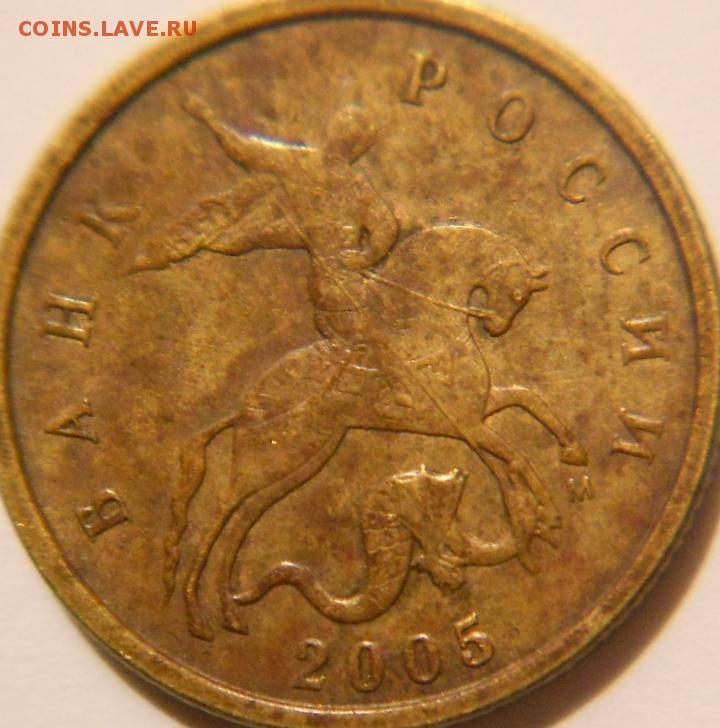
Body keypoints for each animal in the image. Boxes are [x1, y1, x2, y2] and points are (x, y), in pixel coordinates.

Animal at [161, 223, 586, 640]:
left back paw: (231, 611)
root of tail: (246, 405)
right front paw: (546, 514)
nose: (497, 327)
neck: (429, 327)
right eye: (515, 291)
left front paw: (567, 459)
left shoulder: (472, 412)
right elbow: (517, 454)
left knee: (242, 521)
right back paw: (196, 616)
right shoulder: (461, 420)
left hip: (304, 458)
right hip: (266, 457)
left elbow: (528, 401)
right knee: (217, 515)